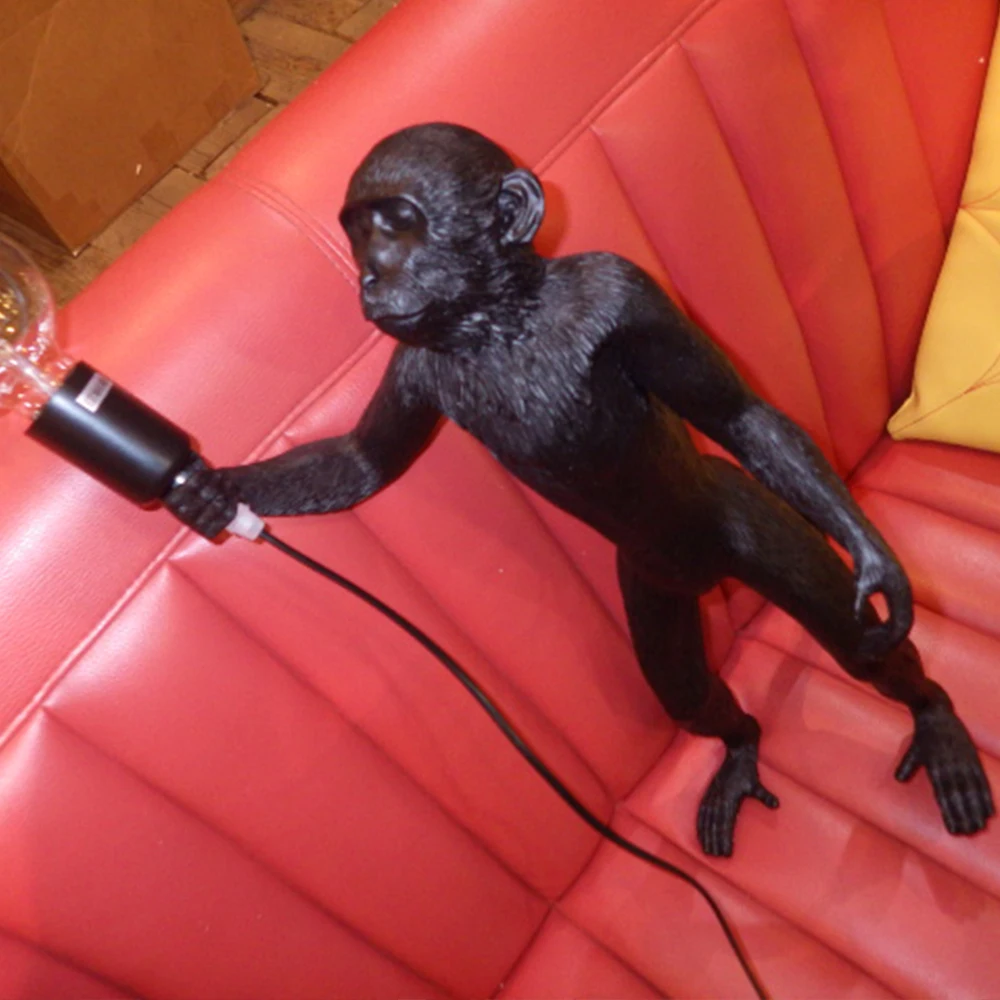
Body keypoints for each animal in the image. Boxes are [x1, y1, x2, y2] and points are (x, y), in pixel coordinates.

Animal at [167, 122, 994, 857]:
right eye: (357, 232)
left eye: (397, 223)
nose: (368, 275)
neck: (505, 323)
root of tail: (709, 578)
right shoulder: (415, 361)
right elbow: (364, 460)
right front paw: (202, 491)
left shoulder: (624, 294)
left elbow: (739, 415)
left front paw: (878, 564)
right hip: (654, 585)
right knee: (687, 692)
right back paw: (740, 750)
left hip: (746, 520)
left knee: (861, 647)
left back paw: (938, 722)